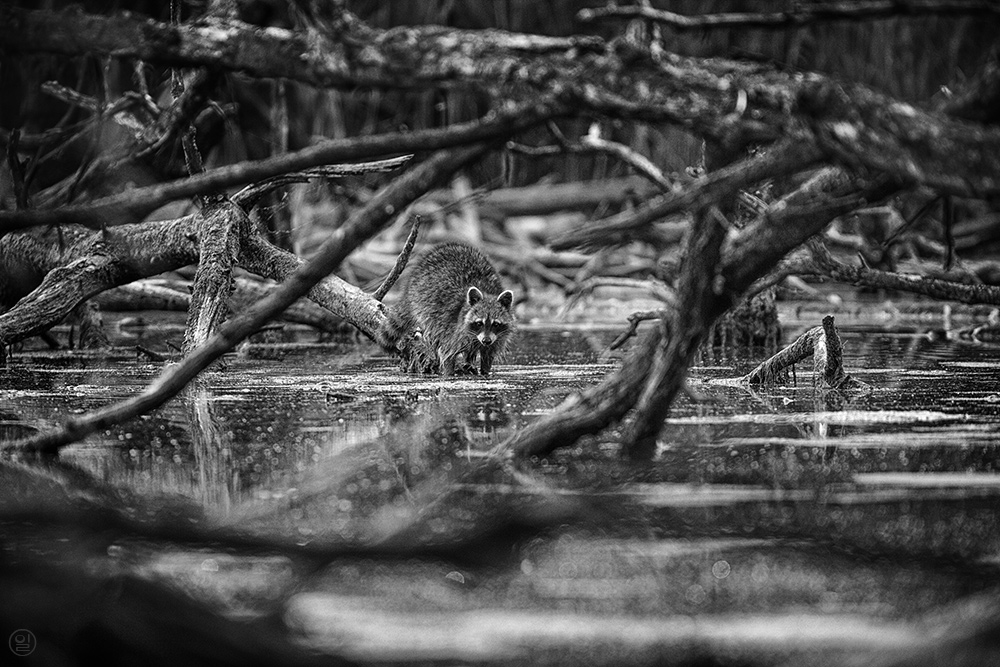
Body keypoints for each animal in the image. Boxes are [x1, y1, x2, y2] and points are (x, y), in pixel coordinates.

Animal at [384, 244, 516, 376]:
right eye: (479, 323)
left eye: (496, 324)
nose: (486, 340)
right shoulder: (451, 329)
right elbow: (447, 353)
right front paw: (449, 373)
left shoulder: (497, 339)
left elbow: (487, 357)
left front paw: (485, 371)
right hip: (423, 305)